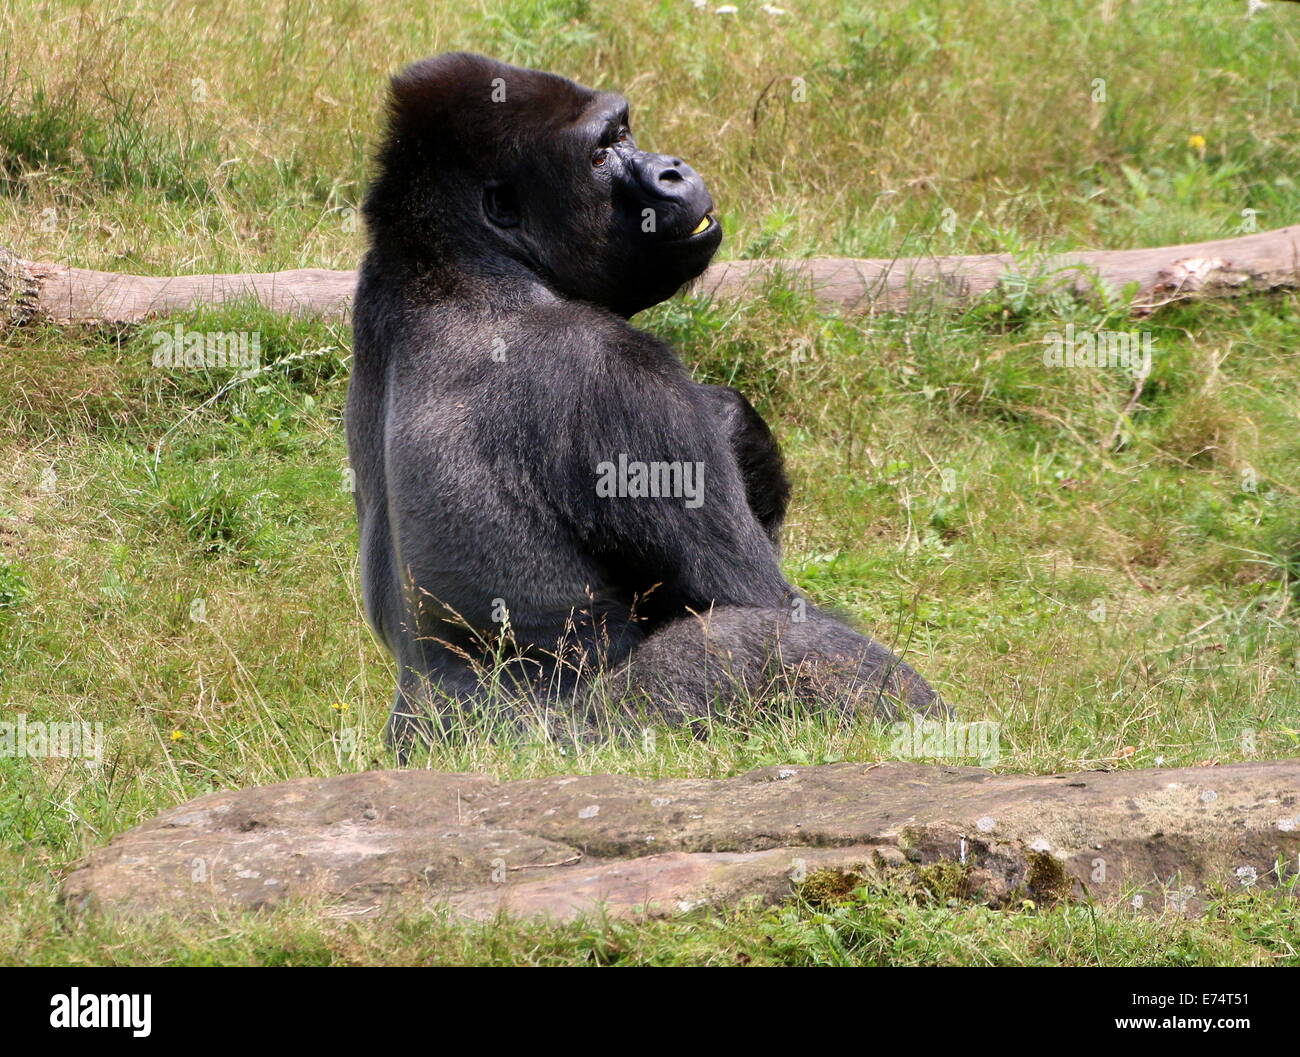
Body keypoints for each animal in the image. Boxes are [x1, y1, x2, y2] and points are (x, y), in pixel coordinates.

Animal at [351, 51, 941, 748]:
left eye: (625, 131)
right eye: (600, 151)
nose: (672, 168)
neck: (459, 262)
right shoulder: (619, 373)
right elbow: (755, 600)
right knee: (767, 639)